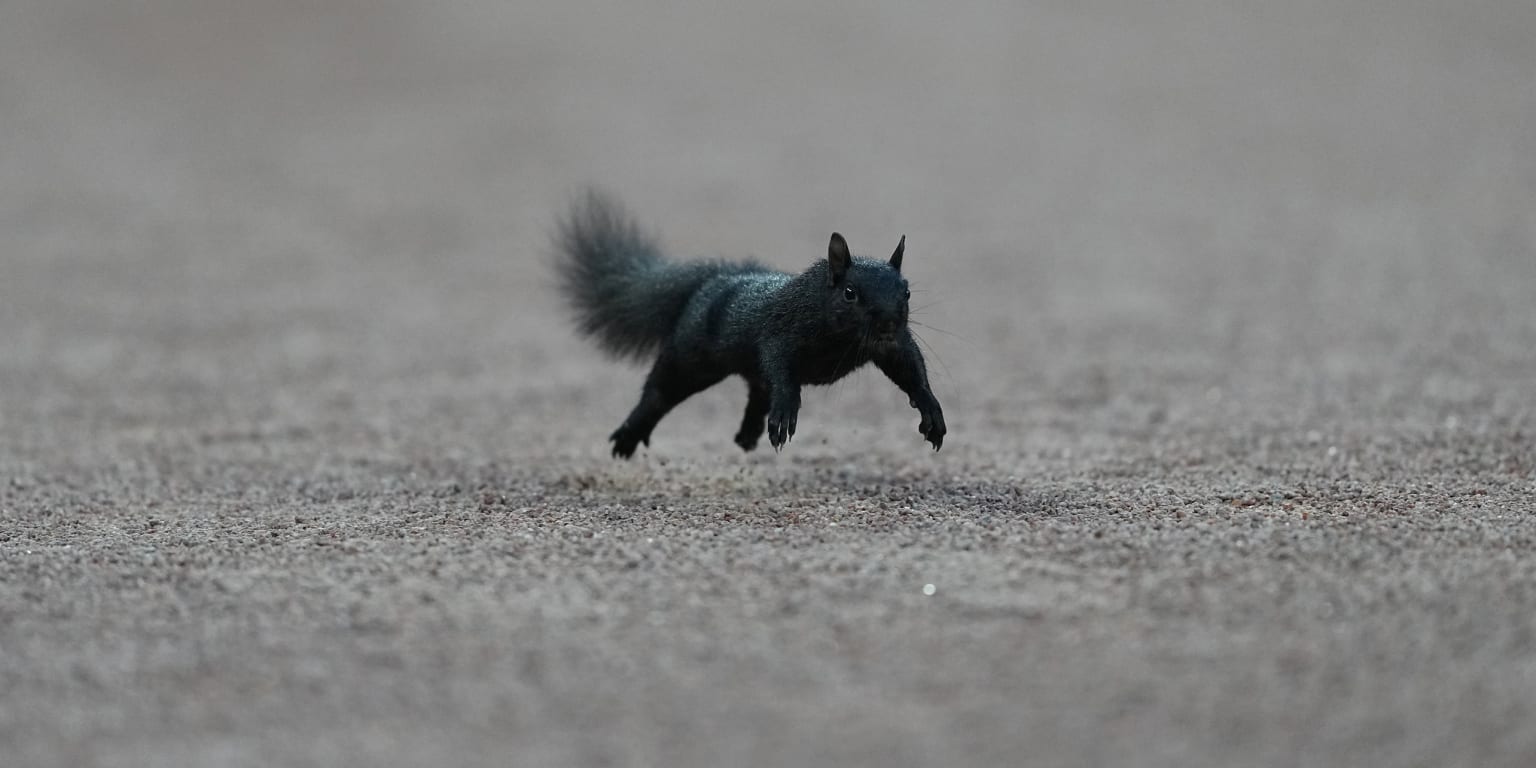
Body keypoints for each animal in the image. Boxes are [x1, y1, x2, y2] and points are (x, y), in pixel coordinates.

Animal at [554, 191, 946, 459]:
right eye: (850, 293)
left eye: (907, 291)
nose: (889, 322)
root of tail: (715, 280)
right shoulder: (780, 332)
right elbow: (781, 370)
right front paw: (786, 410)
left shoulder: (891, 346)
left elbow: (911, 370)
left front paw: (931, 412)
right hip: (691, 356)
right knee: (660, 391)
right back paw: (629, 435)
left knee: (757, 388)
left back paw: (748, 433)